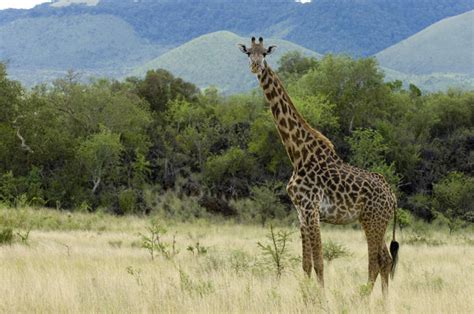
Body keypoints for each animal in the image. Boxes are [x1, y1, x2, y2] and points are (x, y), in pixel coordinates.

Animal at [239, 36, 398, 294]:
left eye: (265, 53)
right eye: (248, 53)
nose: (255, 66)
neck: (298, 155)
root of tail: (392, 197)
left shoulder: (311, 209)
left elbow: (319, 263)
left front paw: (321, 298)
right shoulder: (301, 212)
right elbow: (306, 264)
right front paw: (306, 297)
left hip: (373, 220)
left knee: (376, 261)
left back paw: (363, 298)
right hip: (375, 221)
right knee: (385, 260)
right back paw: (383, 300)